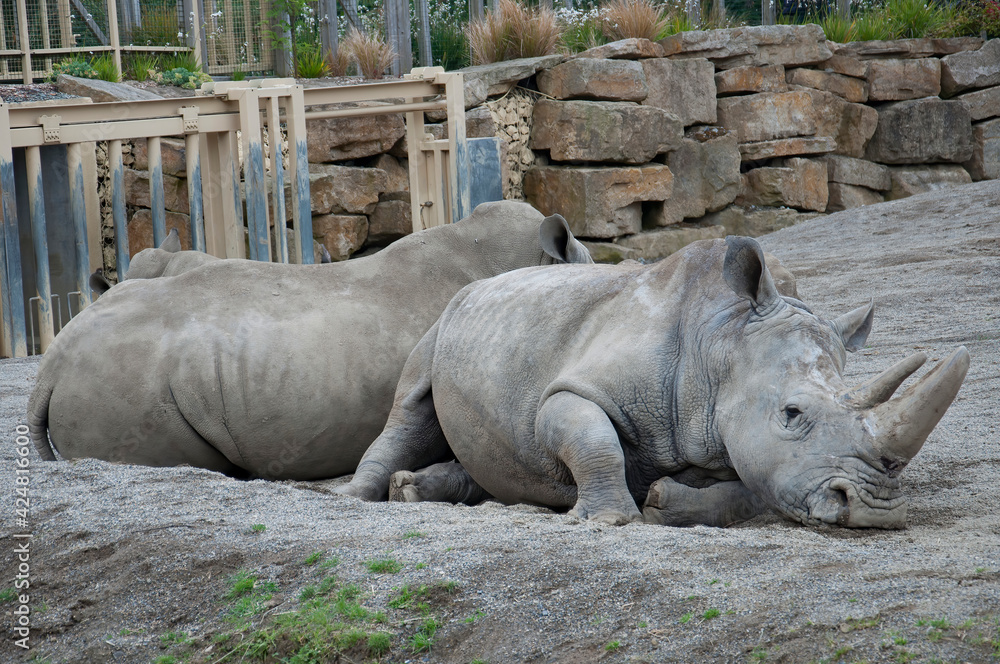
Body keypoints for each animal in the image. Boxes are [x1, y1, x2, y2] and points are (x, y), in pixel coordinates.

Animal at [337, 236, 970, 529]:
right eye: (792, 415)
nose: (875, 510)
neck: (721, 343)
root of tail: (481, 280)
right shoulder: (570, 391)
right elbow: (591, 437)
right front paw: (615, 519)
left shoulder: (740, 438)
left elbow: (747, 491)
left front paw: (666, 502)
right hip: (441, 318)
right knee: (411, 407)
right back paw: (358, 498)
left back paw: (414, 492)